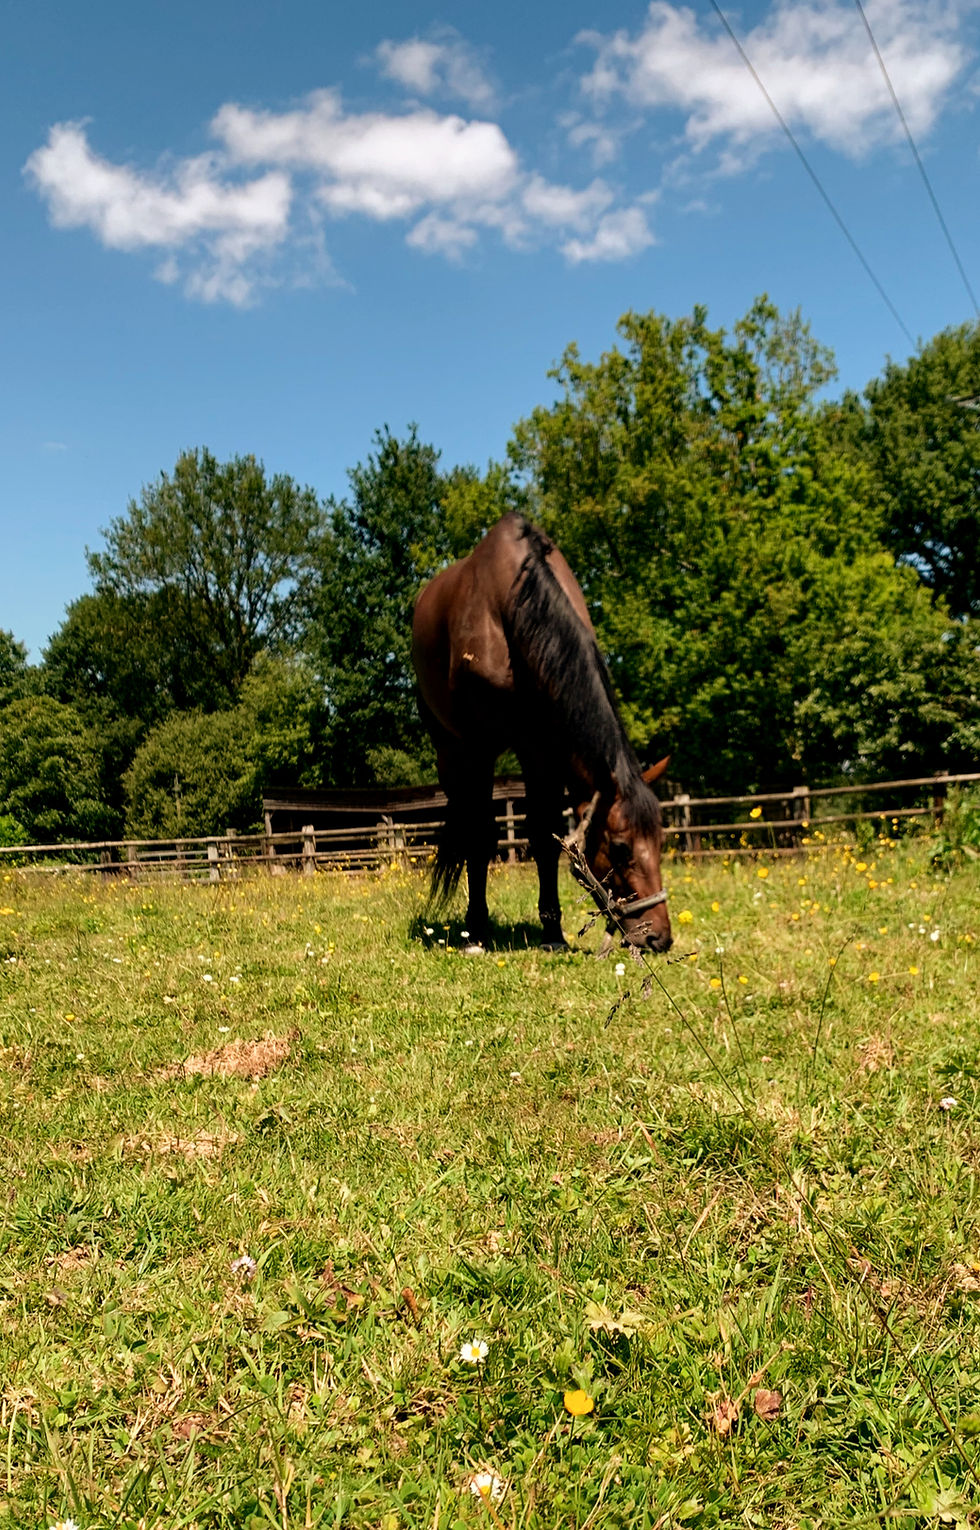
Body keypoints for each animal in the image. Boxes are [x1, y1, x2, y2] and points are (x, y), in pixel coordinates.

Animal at [411, 513, 672, 954]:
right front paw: (477, 931)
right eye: (620, 848)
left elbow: (544, 835)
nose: (659, 935)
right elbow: (481, 836)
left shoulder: (542, 749)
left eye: (660, 840)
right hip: (449, 750)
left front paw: (553, 933)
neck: (512, 609)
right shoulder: (481, 748)